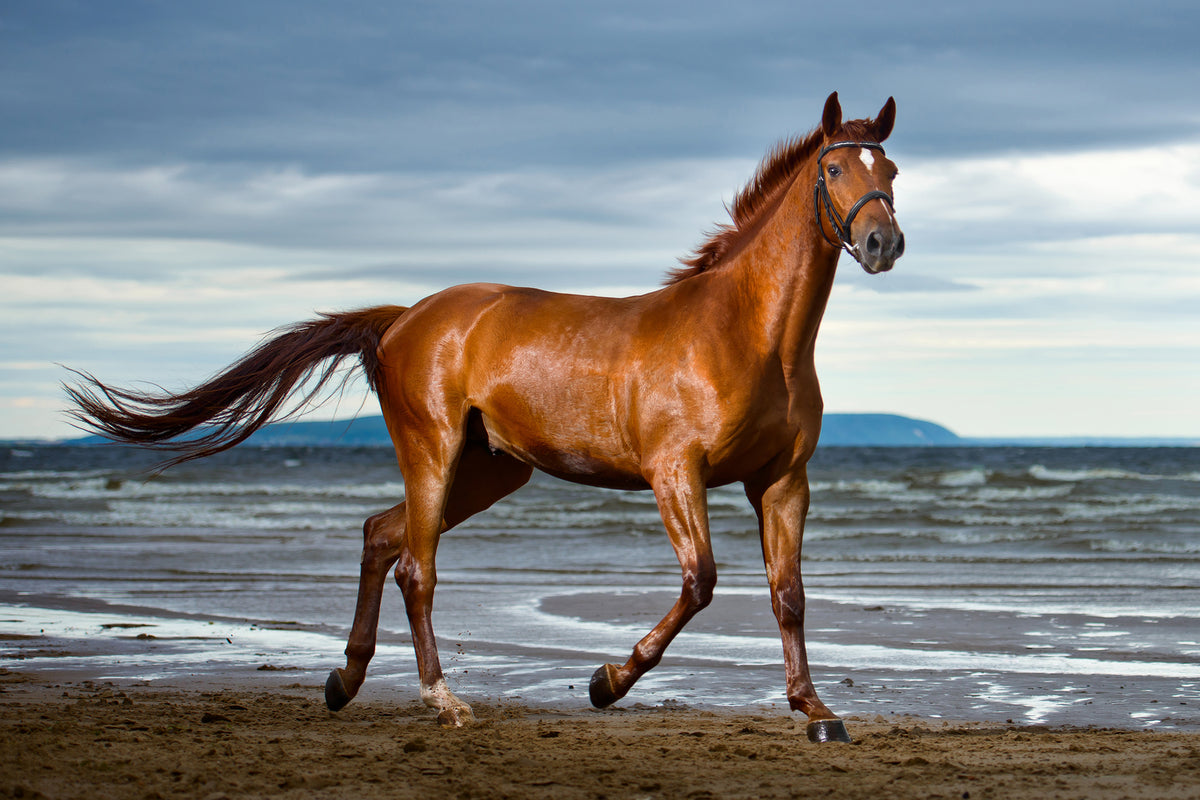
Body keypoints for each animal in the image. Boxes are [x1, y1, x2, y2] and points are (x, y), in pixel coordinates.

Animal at [65, 94, 902, 743]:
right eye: (834, 170)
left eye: (891, 173)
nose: (882, 242)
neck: (745, 335)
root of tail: (403, 318)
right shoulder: (675, 472)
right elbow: (700, 582)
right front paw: (607, 680)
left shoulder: (782, 481)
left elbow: (788, 595)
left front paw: (815, 710)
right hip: (434, 451)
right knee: (415, 566)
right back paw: (443, 701)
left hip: (488, 470)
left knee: (381, 535)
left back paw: (345, 679)